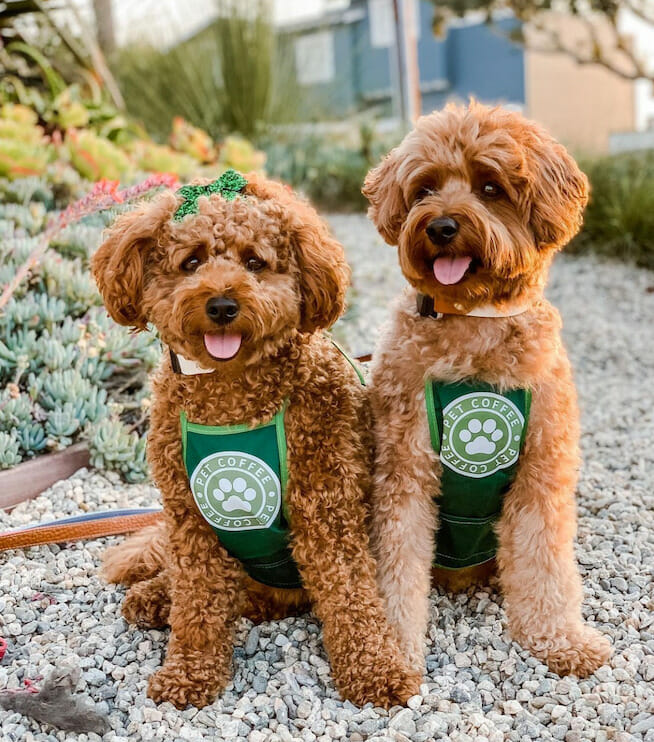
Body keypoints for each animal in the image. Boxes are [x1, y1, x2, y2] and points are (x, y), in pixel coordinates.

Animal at [92, 171, 420, 712]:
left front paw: (377, 671)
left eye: (254, 262)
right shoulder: (190, 519)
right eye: (192, 261)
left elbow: (350, 596)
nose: (222, 304)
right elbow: (197, 600)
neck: (232, 398)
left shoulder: (327, 510)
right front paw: (188, 674)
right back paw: (155, 596)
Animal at [364, 103, 616, 680]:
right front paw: (395, 651)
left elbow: (544, 561)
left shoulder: (542, 470)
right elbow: (398, 567)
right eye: (425, 188)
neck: (472, 319)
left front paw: (558, 639)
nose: (441, 226)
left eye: (490, 186)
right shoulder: (404, 470)